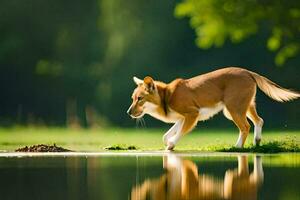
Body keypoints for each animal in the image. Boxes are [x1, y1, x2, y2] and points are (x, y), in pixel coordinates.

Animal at [127, 67, 300, 150]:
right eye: (132, 98)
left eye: (140, 99)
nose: (128, 112)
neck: (166, 96)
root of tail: (248, 72)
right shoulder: (183, 118)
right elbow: (167, 134)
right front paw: (168, 142)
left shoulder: (192, 114)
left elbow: (178, 134)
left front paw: (171, 145)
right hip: (244, 106)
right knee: (259, 121)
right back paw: (257, 141)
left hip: (233, 109)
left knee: (245, 126)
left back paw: (237, 147)